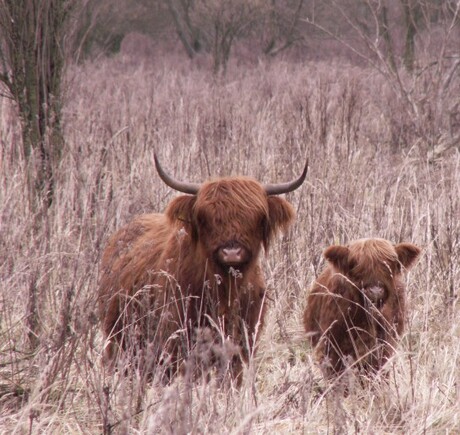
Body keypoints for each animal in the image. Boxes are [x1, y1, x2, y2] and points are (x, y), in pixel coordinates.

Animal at [97, 155, 308, 384]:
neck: (225, 290)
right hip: (118, 339)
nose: (231, 252)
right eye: (205, 218)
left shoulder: (242, 342)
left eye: (257, 217)